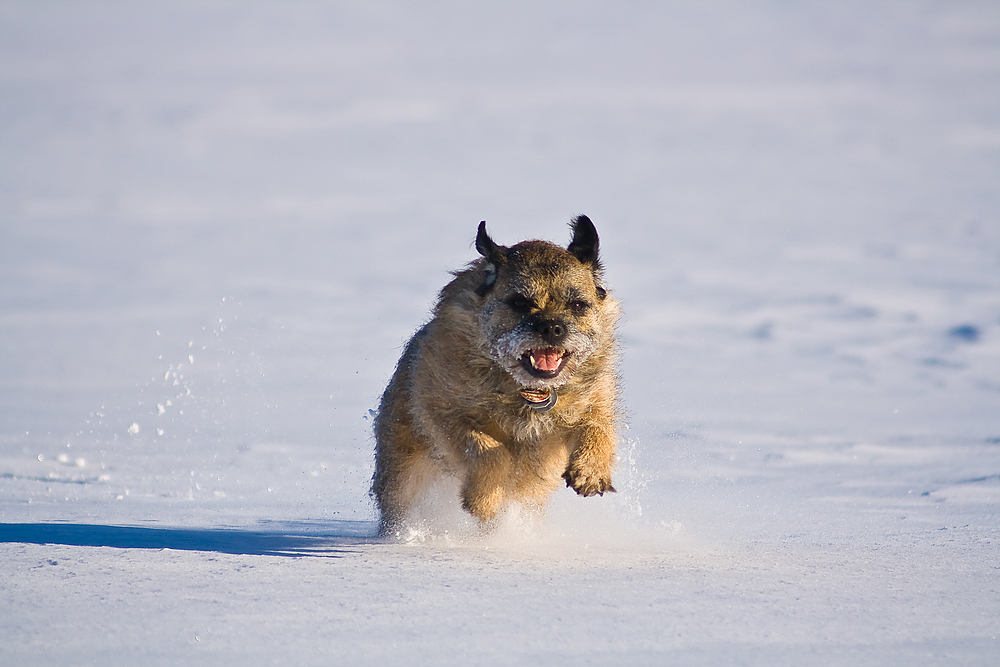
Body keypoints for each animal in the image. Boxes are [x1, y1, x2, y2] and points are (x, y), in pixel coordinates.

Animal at [372, 219, 616, 536]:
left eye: (577, 305)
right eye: (520, 303)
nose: (552, 327)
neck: (526, 390)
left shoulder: (594, 400)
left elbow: (598, 427)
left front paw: (591, 471)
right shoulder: (440, 412)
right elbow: (488, 450)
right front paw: (484, 500)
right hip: (403, 472)